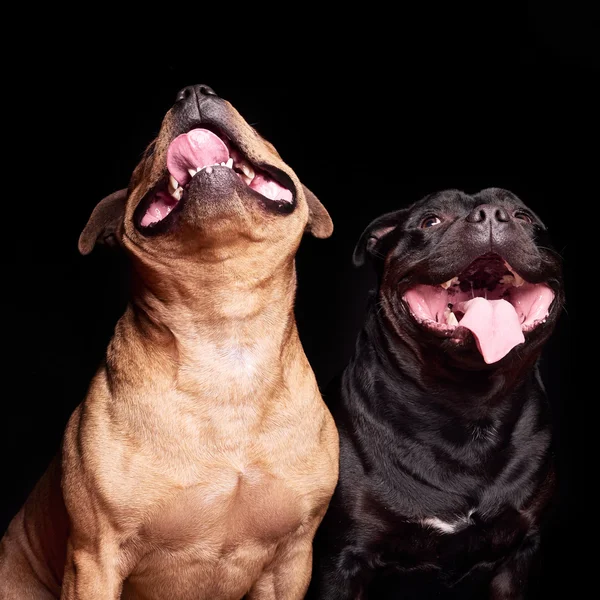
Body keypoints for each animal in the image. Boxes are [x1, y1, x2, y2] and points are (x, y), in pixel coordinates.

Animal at [0, 84, 338, 600]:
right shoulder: (94, 558)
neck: (223, 329)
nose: (194, 91)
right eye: (144, 155)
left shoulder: (291, 561)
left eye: (260, 131)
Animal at [308, 189, 564, 600]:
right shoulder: (342, 561)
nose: (490, 215)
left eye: (523, 217)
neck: (466, 408)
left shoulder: (520, 552)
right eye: (431, 221)